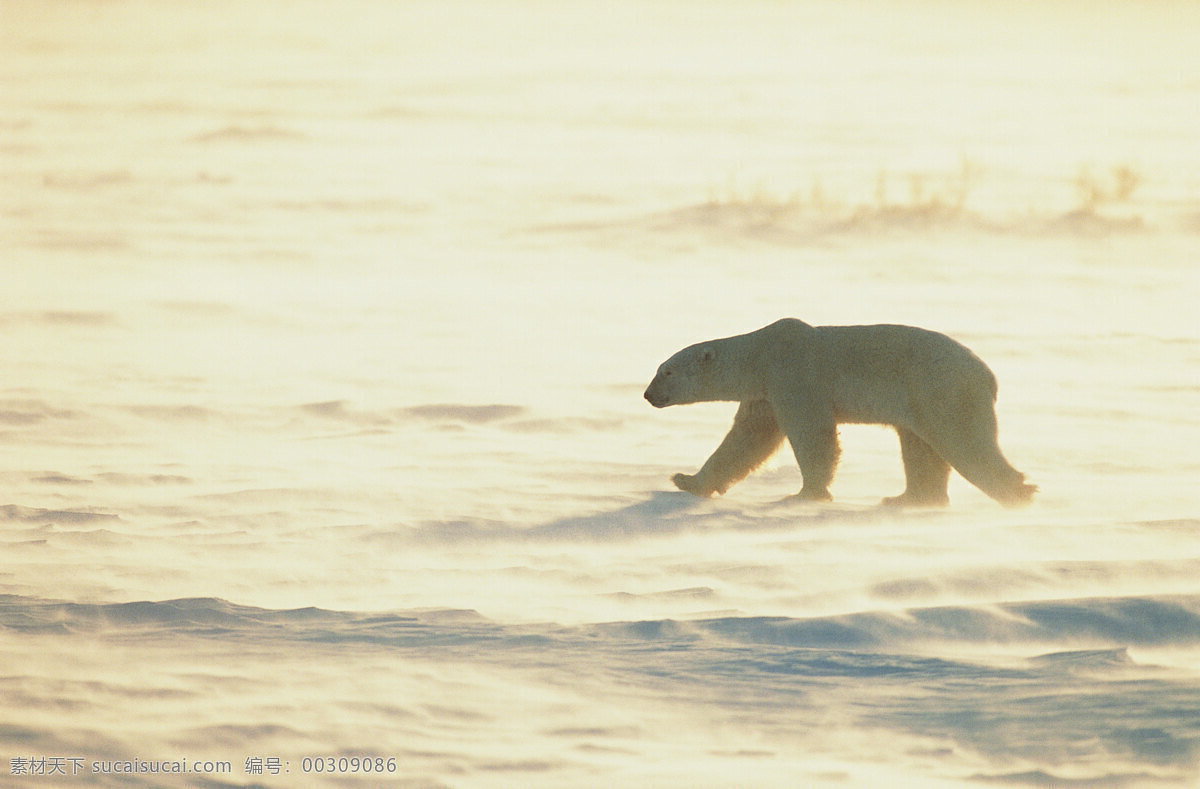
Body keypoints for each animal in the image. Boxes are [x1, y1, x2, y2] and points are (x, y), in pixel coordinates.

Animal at [643, 318, 1036, 506]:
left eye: (666, 372)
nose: (648, 395)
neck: (762, 352)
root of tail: (987, 375)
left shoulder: (794, 373)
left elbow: (813, 433)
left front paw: (806, 493)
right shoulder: (765, 393)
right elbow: (747, 440)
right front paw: (686, 480)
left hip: (941, 389)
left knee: (965, 442)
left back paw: (1019, 491)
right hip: (919, 401)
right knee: (921, 449)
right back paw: (907, 498)